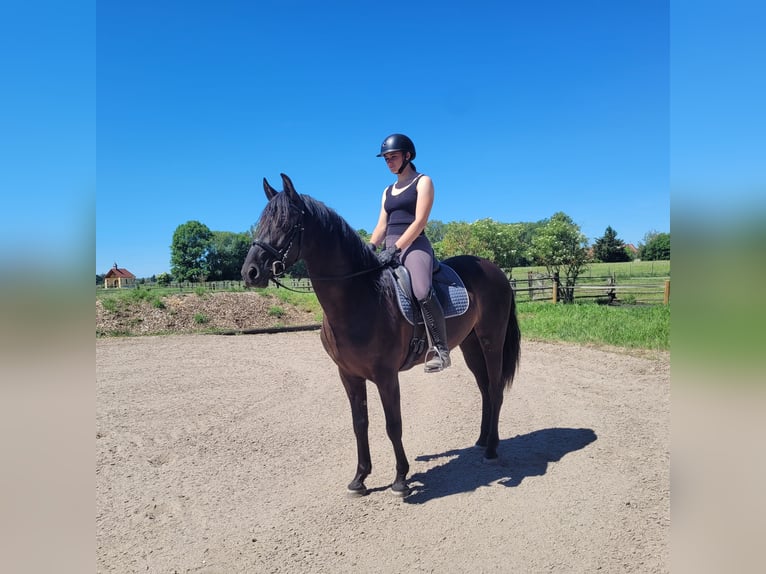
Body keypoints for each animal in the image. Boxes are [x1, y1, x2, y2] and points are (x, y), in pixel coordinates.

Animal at [241, 173, 521, 496]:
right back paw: (481, 441)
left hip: (491, 341)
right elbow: (359, 423)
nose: (250, 272)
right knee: (485, 389)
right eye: (261, 221)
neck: (360, 297)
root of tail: (496, 270)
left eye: (286, 222)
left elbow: (393, 424)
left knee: (496, 388)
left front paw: (401, 479)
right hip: (470, 345)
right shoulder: (349, 375)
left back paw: (491, 450)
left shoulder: (386, 375)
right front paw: (360, 478)